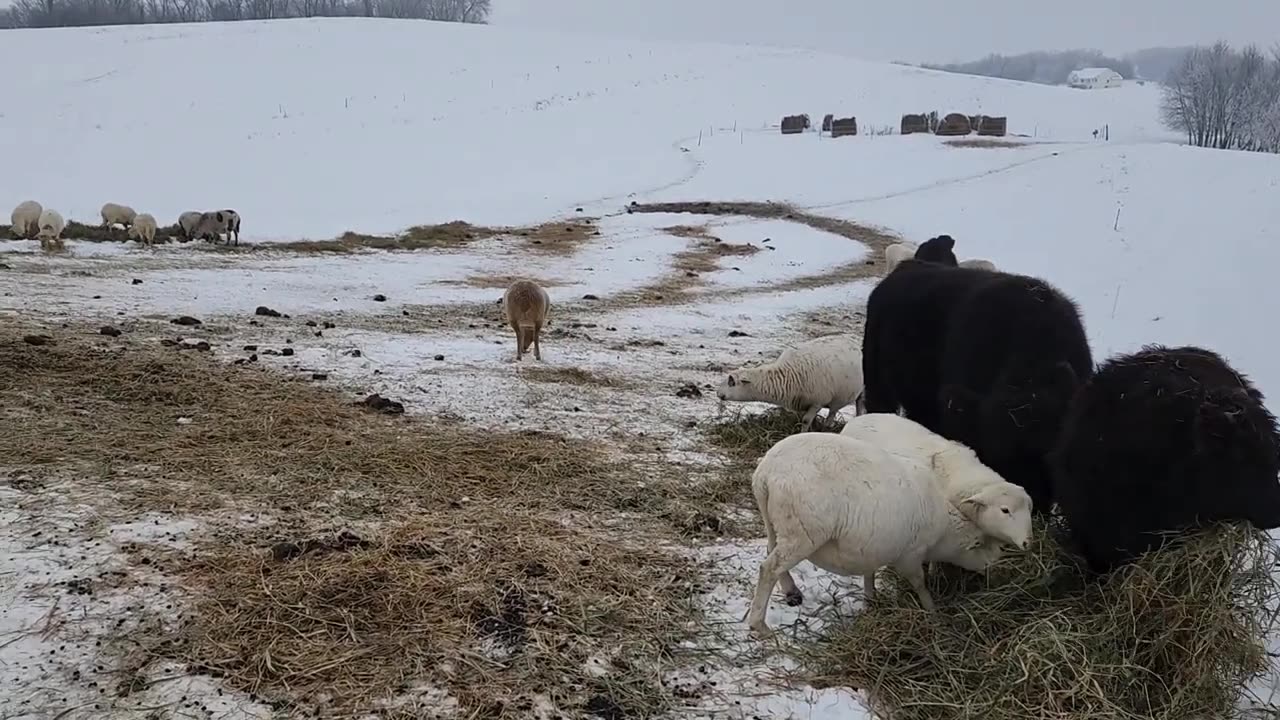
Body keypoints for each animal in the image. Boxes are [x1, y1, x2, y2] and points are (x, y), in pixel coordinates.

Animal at [716, 333, 865, 427]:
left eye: (731, 382)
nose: (718, 393)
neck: (787, 376)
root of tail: (855, 340)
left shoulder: (817, 402)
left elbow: (805, 421)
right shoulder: (802, 403)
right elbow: (804, 419)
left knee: (857, 404)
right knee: (835, 411)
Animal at [742, 427, 1018, 630]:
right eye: (982, 544)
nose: (995, 564)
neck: (943, 530)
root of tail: (766, 474)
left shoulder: (872, 545)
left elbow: (869, 573)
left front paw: (871, 597)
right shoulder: (910, 554)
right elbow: (919, 583)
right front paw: (932, 611)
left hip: (777, 523)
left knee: (770, 551)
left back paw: (790, 591)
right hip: (803, 531)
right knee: (769, 568)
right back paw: (760, 626)